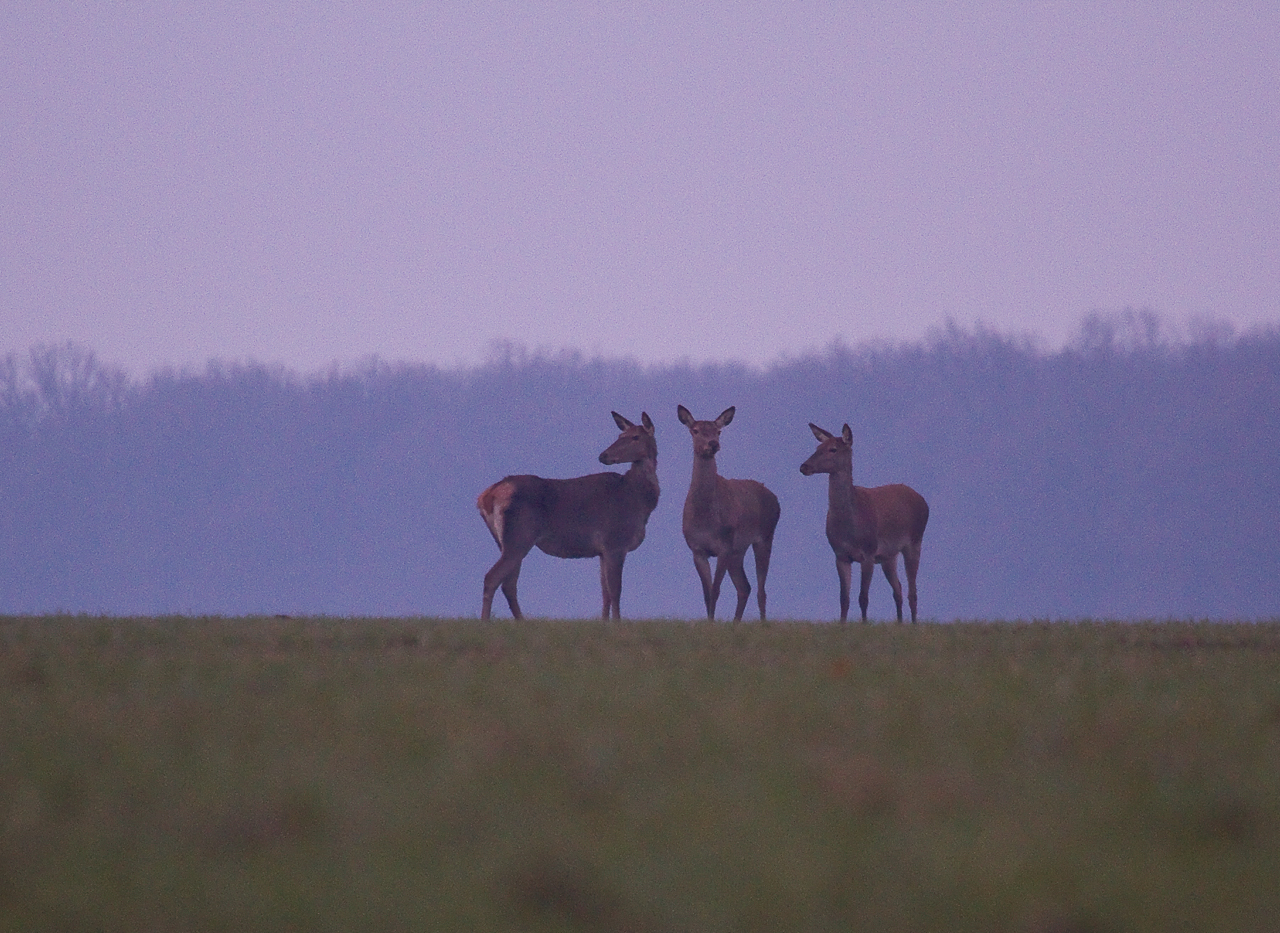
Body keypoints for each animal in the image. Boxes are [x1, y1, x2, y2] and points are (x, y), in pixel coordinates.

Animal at [477, 412, 659, 621]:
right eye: (621, 436)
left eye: (635, 437)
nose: (603, 455)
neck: (639, 501)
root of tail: (486, 497)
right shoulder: (615, 542)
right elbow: (615, 591)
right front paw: (617, 623)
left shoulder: (602, 550)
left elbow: (605, 593)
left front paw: (605, 623)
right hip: (519, 535)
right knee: (493, 578)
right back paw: (486, 622)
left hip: (506, 541)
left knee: (508, 584)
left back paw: (522, 622)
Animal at [677, 405, 781, 621]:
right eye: (695, 430)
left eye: (718, 431)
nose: (713, 444)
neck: (705, 519)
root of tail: (775, 499)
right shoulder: (697, 549)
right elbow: (707, 593)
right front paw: (709, 622)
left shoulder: (724, 546)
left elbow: (715, 590)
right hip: (738, 550)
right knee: (745, 587)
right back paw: (735, 623)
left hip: (765, 536)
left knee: (761, 589)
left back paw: (763, 623)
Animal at [800, 423, 929, 622]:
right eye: (817, 447)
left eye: (833, 449)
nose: (804, 466)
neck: (851, 527)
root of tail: (923, 501)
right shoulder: (840, 555)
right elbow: (844, 598)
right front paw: (842, 625)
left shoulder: (868, 552)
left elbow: (863, 597)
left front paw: (864, 624)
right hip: (888, 555)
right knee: (898, 588)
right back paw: (900, 623)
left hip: (915, 540)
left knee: (912, 592)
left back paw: (914, 624)